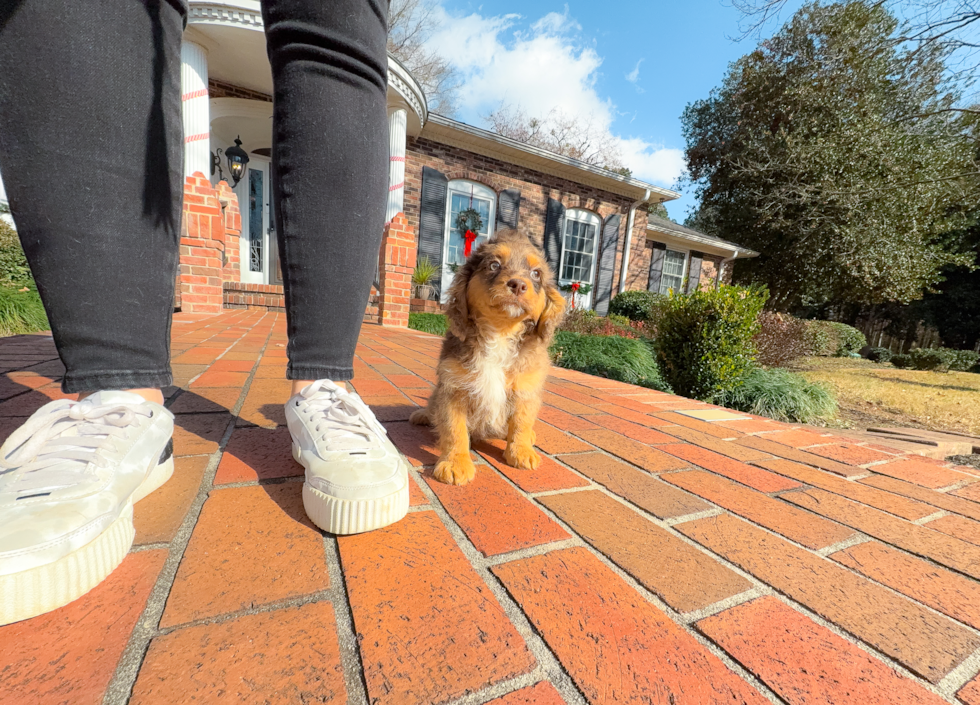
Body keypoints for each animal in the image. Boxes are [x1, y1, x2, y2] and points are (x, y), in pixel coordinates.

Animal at [412, 228, 568, 482]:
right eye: (494, 265)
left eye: (536, 274)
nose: (518, 285)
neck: (500, 333)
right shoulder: (453, 387)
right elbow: (454, 429)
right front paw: (455, 463)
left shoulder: (526, 388)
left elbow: (522, 423)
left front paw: (521, 451)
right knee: (433, 405)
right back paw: (423, 414)